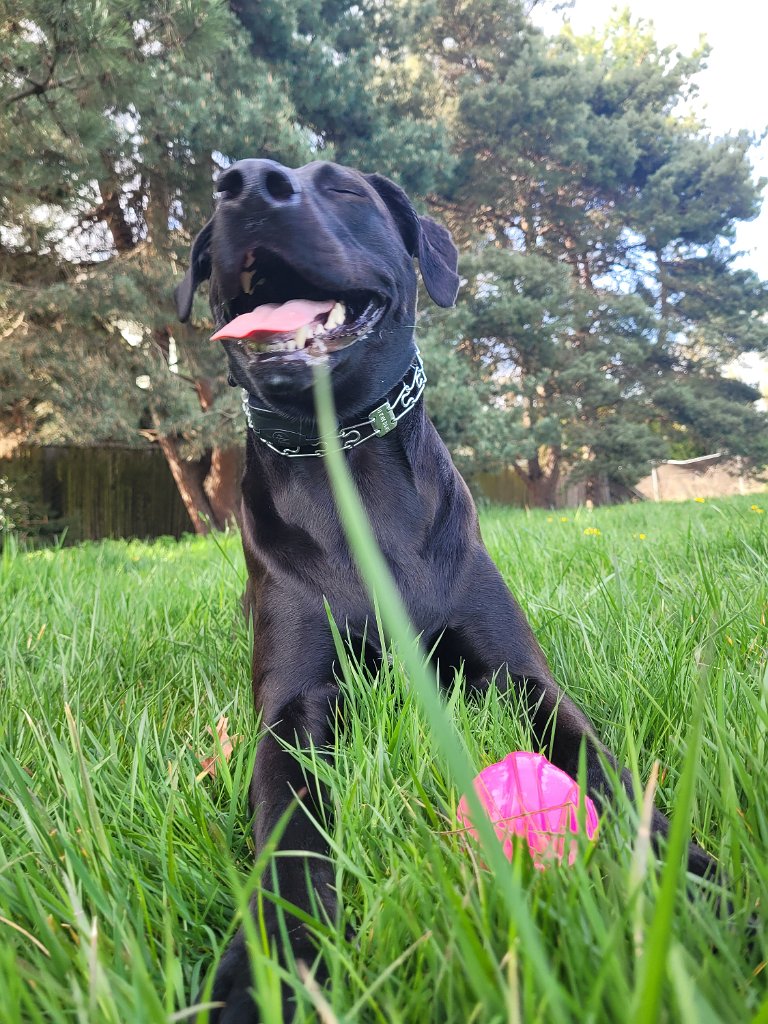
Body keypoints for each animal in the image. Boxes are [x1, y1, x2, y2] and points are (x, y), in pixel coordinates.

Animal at [177, 157, 720, 1015]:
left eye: (343, 189)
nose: (246, 183)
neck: (352, 472)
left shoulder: (518, 673)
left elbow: (597, 760)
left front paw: (688, 875)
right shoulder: (294, 706)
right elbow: (290, 828)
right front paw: (271, 965)